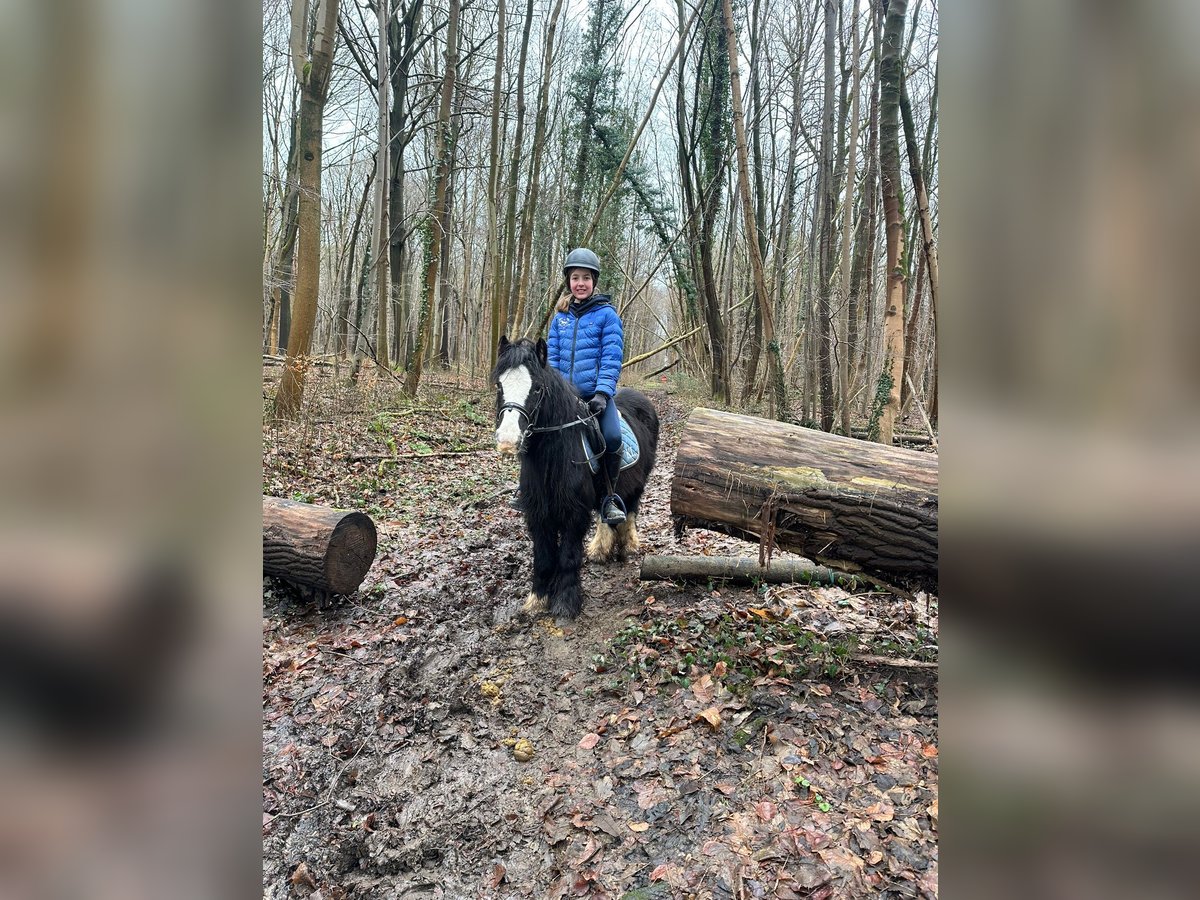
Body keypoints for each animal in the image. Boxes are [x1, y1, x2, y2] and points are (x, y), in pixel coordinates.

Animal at [492, 336, 662, 619]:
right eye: (499, 385)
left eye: (537, 388)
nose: (507, 440)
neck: (554, 456)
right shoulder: (538, 514)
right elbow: (544, 558)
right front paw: (537, 600)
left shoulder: (574, 514)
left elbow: (568, 557)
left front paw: (566, 603)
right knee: (607, 510)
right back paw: (600, 549)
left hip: (638, 483)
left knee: (629, 510)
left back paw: (627, 546)